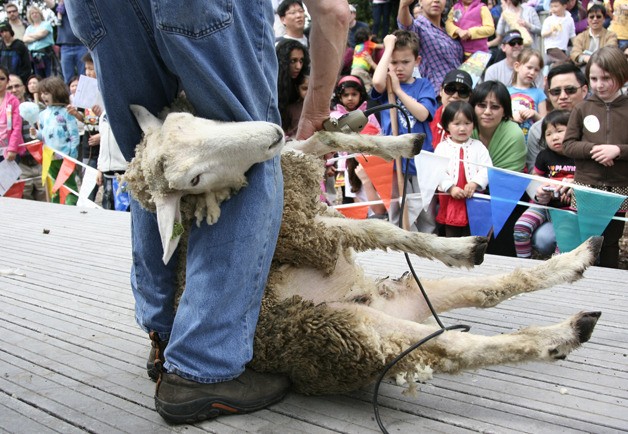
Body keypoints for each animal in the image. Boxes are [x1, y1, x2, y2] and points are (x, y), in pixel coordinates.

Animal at [125, 103, 600, 396]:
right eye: (193, 180)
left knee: (488, 291)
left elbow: (323, 140)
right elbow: (377, 227)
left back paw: (576, 261)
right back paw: (561, 334)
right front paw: (451, 246)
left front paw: (399, 142)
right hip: (355, 328)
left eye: (187, 115)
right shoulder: (304, 231)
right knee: (453, 348)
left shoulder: (300, 176)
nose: (271, 131)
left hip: (406, 296)